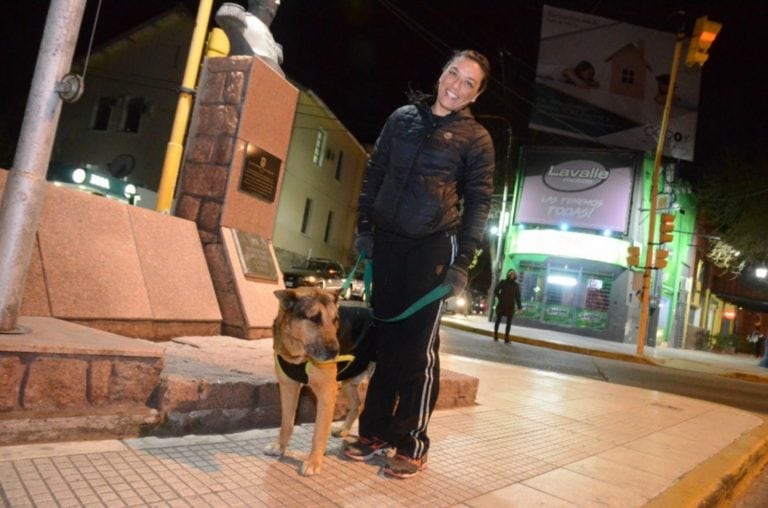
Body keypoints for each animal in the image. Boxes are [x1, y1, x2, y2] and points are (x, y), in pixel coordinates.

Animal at [266, 288, 376, 474]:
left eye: (335, 319)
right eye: (315, 318)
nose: (336, 351)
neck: (298, 356)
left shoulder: (327, 392)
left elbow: (319, 431)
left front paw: (314, 461)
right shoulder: (288, 386)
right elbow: (287, 423)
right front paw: (280, 446)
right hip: (348, 380)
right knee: (358, 405)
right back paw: (344, 430)